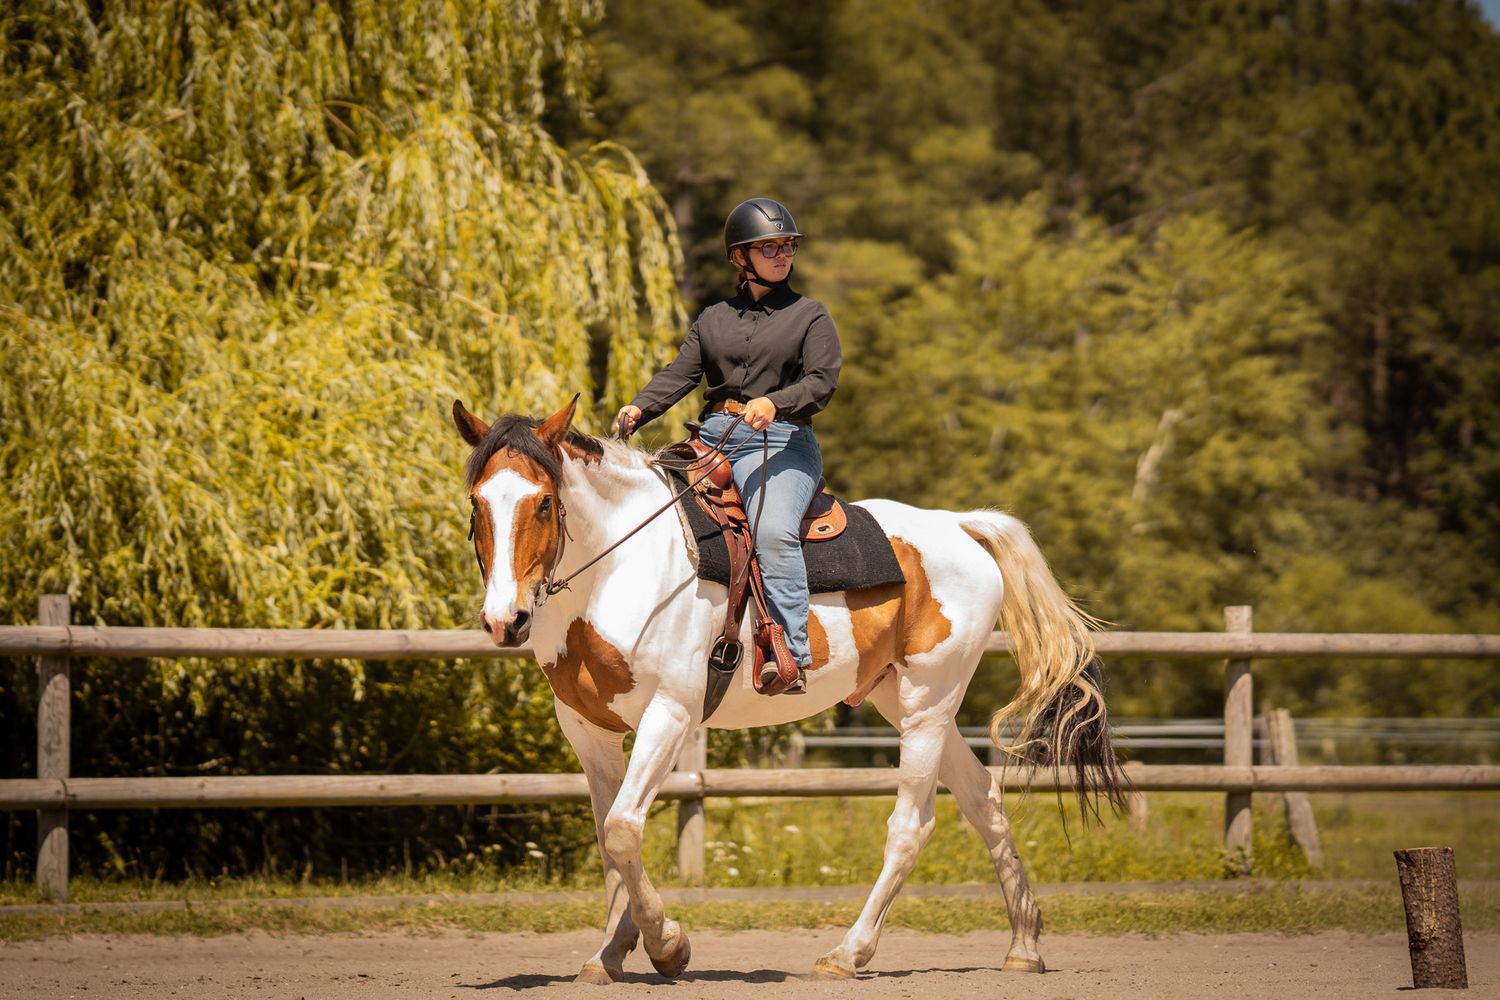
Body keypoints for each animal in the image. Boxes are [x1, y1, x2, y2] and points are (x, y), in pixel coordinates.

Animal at [452, 394, 1126, 983]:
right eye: (477, 504)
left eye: (543, 503)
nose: (505, 620)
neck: (623, 568)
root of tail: (959, 526)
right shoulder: (587, 729)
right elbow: (611, 837)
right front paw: (611, 954)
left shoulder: (670, 714)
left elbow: (622, 829)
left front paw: (668, 946)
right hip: (899, 699)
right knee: (983, 799)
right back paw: (1024, 945)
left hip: (929, 702)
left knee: (912, 823)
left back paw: (848, 953)